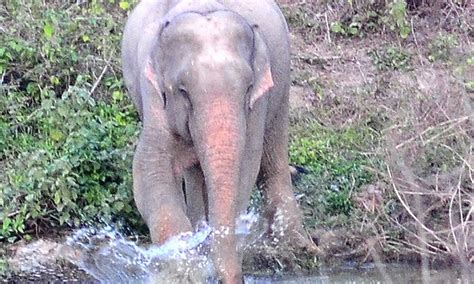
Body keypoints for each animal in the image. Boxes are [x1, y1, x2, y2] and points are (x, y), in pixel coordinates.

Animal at [122, 0, 314, 282]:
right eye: (182, 91)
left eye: (248, 88)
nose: (233, 278)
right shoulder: (153, 93)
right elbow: (151, 169)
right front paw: (185, 266)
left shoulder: (257, 103)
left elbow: (246, 166)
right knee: (193, 174)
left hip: (282, 84)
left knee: (273, 155)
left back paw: (297, 246)